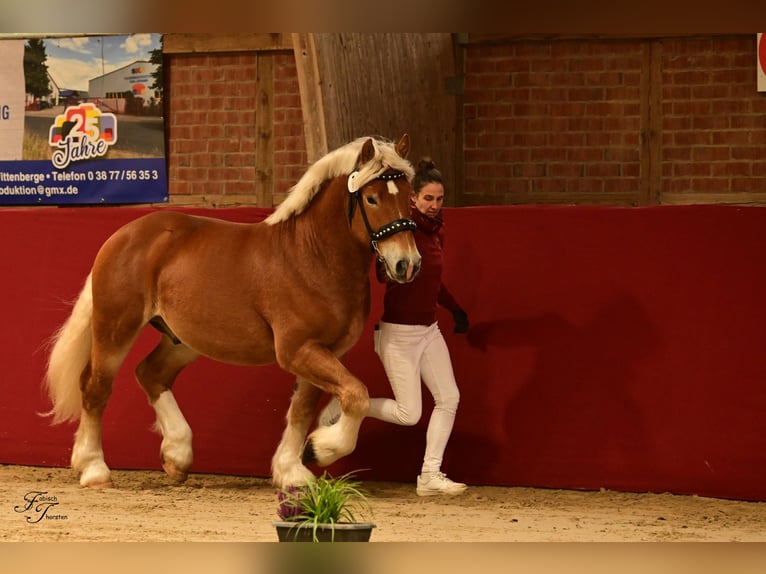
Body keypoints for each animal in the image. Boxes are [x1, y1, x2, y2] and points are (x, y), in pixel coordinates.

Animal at [45, 134, 424, 490]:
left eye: (409, 197)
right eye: (372, 198)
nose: (407, 264)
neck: (312, 256)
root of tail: (122, 235)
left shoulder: (323, 352)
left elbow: (303, 410)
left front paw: (291, 471)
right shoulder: (298, 350)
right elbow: (356, 396)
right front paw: (319, 450)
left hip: (183, 340)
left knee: (150, 373)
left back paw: (177, 456)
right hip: (115, 328)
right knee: (95, 387)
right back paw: (94, 469)